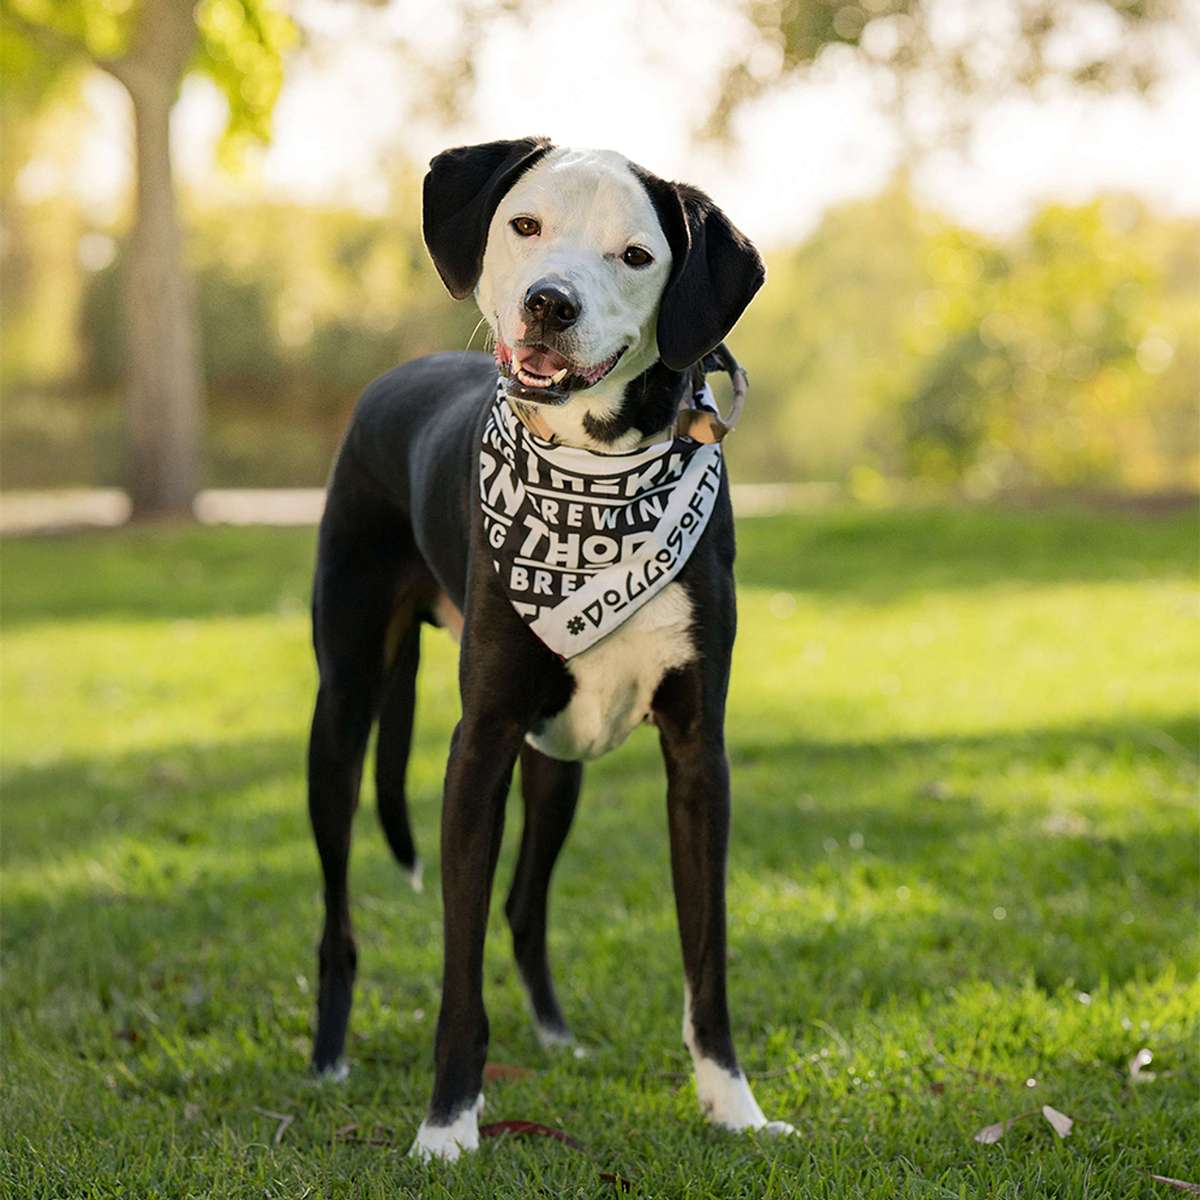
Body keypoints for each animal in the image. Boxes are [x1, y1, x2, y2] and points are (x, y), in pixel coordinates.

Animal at [306, 138, 795, 1160]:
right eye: (524, 225)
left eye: (636, 254)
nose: (550, 303)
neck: (592, 484)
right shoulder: (480, 746)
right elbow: (458, 971)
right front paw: (448, 1125)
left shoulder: (699, 756)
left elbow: (707, 957)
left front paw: (733, 1106)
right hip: (344, 713)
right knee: (339, 915)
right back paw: (328, 1058)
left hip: (559, 761)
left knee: (526, 906)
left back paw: (556, 1034)